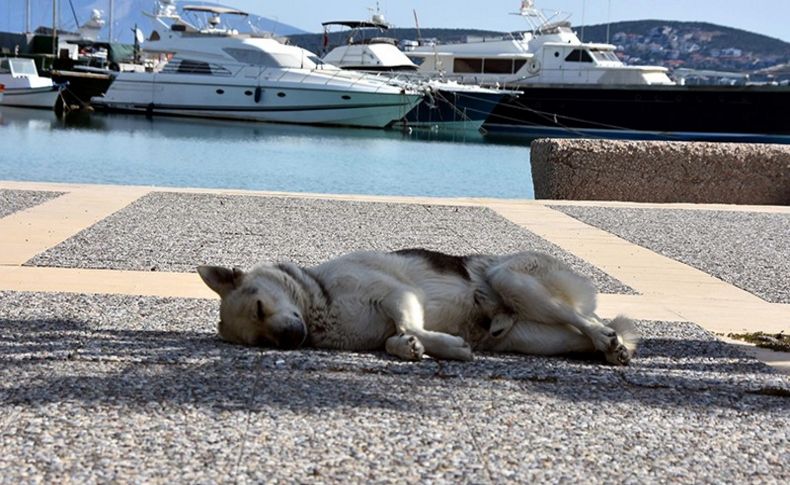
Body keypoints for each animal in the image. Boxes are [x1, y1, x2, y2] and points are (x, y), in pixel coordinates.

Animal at [201, 250, 640, 364]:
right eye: (261, 343)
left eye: (259, 308)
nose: (291, 340)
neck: (320, 303)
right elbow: (395, 339)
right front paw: (412, 347)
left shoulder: (397, 295)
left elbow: (410, 324)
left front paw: (444, 346)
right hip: (538, 339)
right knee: (582, 333)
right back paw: (611, 348)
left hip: (513, 280)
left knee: (583, 318)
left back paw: (605, 337)